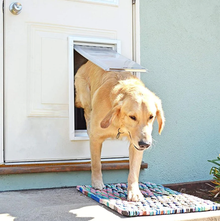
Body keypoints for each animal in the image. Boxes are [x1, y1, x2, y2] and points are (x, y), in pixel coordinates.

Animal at [75, 60, 164, 202]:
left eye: (151, 116)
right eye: (132, 117)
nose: (145, 144)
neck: (121, 124)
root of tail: (87, 62)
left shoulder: (135, 146)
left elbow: (134, 171)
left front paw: (134, 192)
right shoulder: (96, 138)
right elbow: (96, 163)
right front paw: (97, 183)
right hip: (84, 96)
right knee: (86, 111)